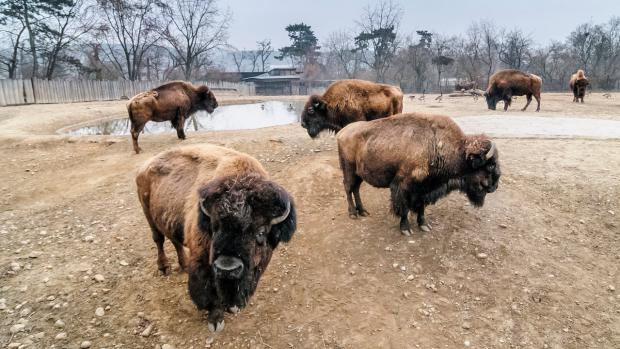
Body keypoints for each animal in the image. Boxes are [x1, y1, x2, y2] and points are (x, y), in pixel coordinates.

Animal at [137, 144, 296, 332]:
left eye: (261, 232)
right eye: (214, 227)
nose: (227, 267)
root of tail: (145, 166)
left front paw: (233, 307)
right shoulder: (204, 262)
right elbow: (210, 291)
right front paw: (215, 320)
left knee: (175, 241)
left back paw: (183, 265)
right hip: (148, 215)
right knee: (159, 240)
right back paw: (164, 268)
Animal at [336, 113, 502, 235]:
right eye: (490, 165)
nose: (494, 186)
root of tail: (342, 132)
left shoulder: (424, 188)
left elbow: (421, 207)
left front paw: (424, 225)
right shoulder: (402, 186)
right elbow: (403, 207)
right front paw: (406, 229)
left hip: (359, 174)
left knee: (355, 189)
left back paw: (363, 211)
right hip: (349, 170)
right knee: (348, 188)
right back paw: (353, 213)